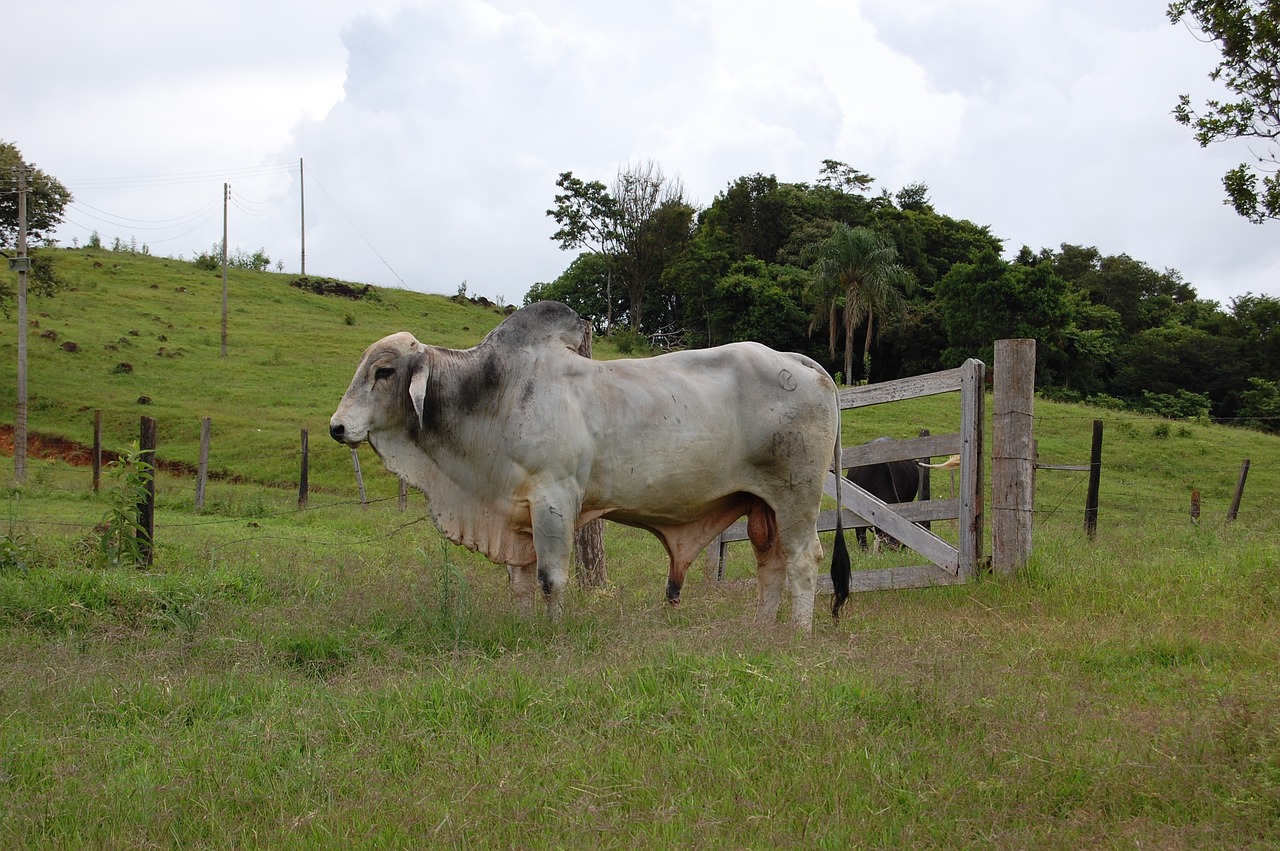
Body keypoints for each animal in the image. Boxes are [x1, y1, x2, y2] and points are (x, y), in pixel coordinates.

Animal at [330, 302, 839, 627]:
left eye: (383, 371)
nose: (337, 427)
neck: (494, 393)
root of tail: (796, 359)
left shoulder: (554, 500)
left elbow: (550, 579)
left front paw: (553, 634)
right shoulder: (515, 515)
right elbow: (520, 583)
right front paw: (524, 629)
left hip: (797, 496)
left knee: (803, 560)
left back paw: (797, 634)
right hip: (761, 505)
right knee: (770, 563)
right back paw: (762, 630)